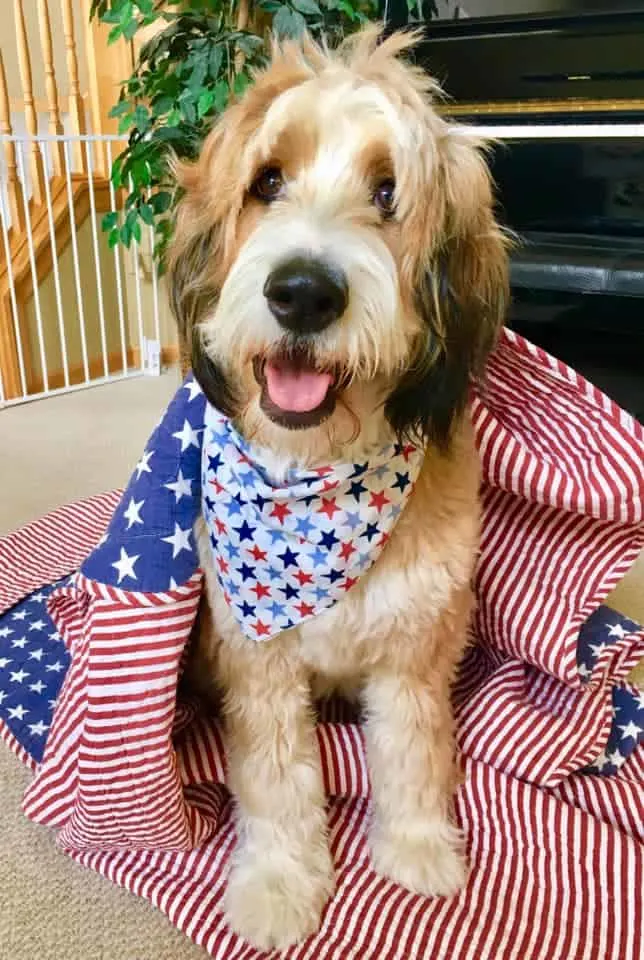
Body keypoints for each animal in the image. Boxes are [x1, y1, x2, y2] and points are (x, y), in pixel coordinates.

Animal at [169, 28, 510, 952]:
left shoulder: (416, 652)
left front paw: (418, 850)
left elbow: (414, 753)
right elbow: (277, 781)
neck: (317, 482)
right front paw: (281, 884)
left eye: (389, 191)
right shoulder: (258, 664)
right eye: (267, 181)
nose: (303, 292)